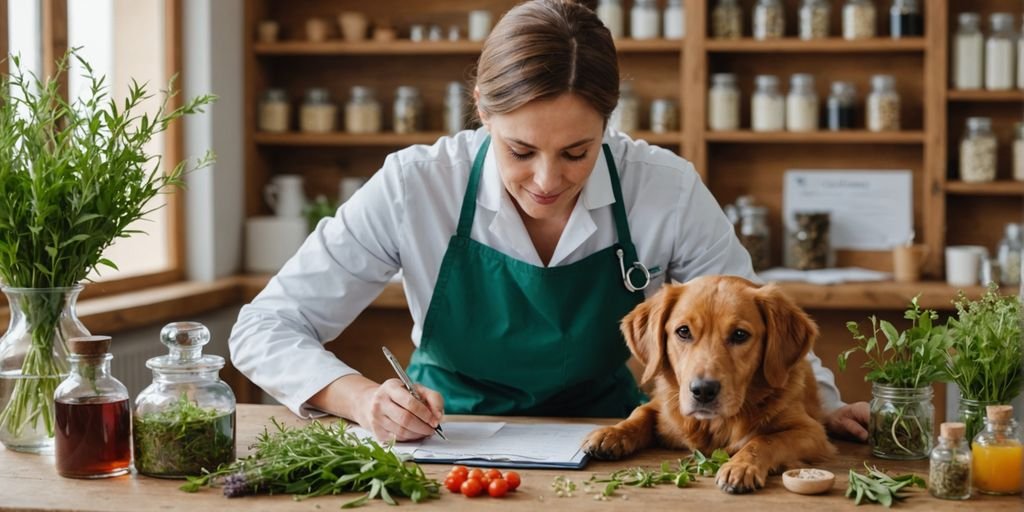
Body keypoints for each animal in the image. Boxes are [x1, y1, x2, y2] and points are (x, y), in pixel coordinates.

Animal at [589, 274, 835, 493]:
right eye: (683, 331)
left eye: (740, 335)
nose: (703, 391)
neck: (713, 425)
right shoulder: (664, 406)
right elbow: (640, 413)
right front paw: (612, 433)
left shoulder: (813, 432)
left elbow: (766, 439)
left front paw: (741, 466)